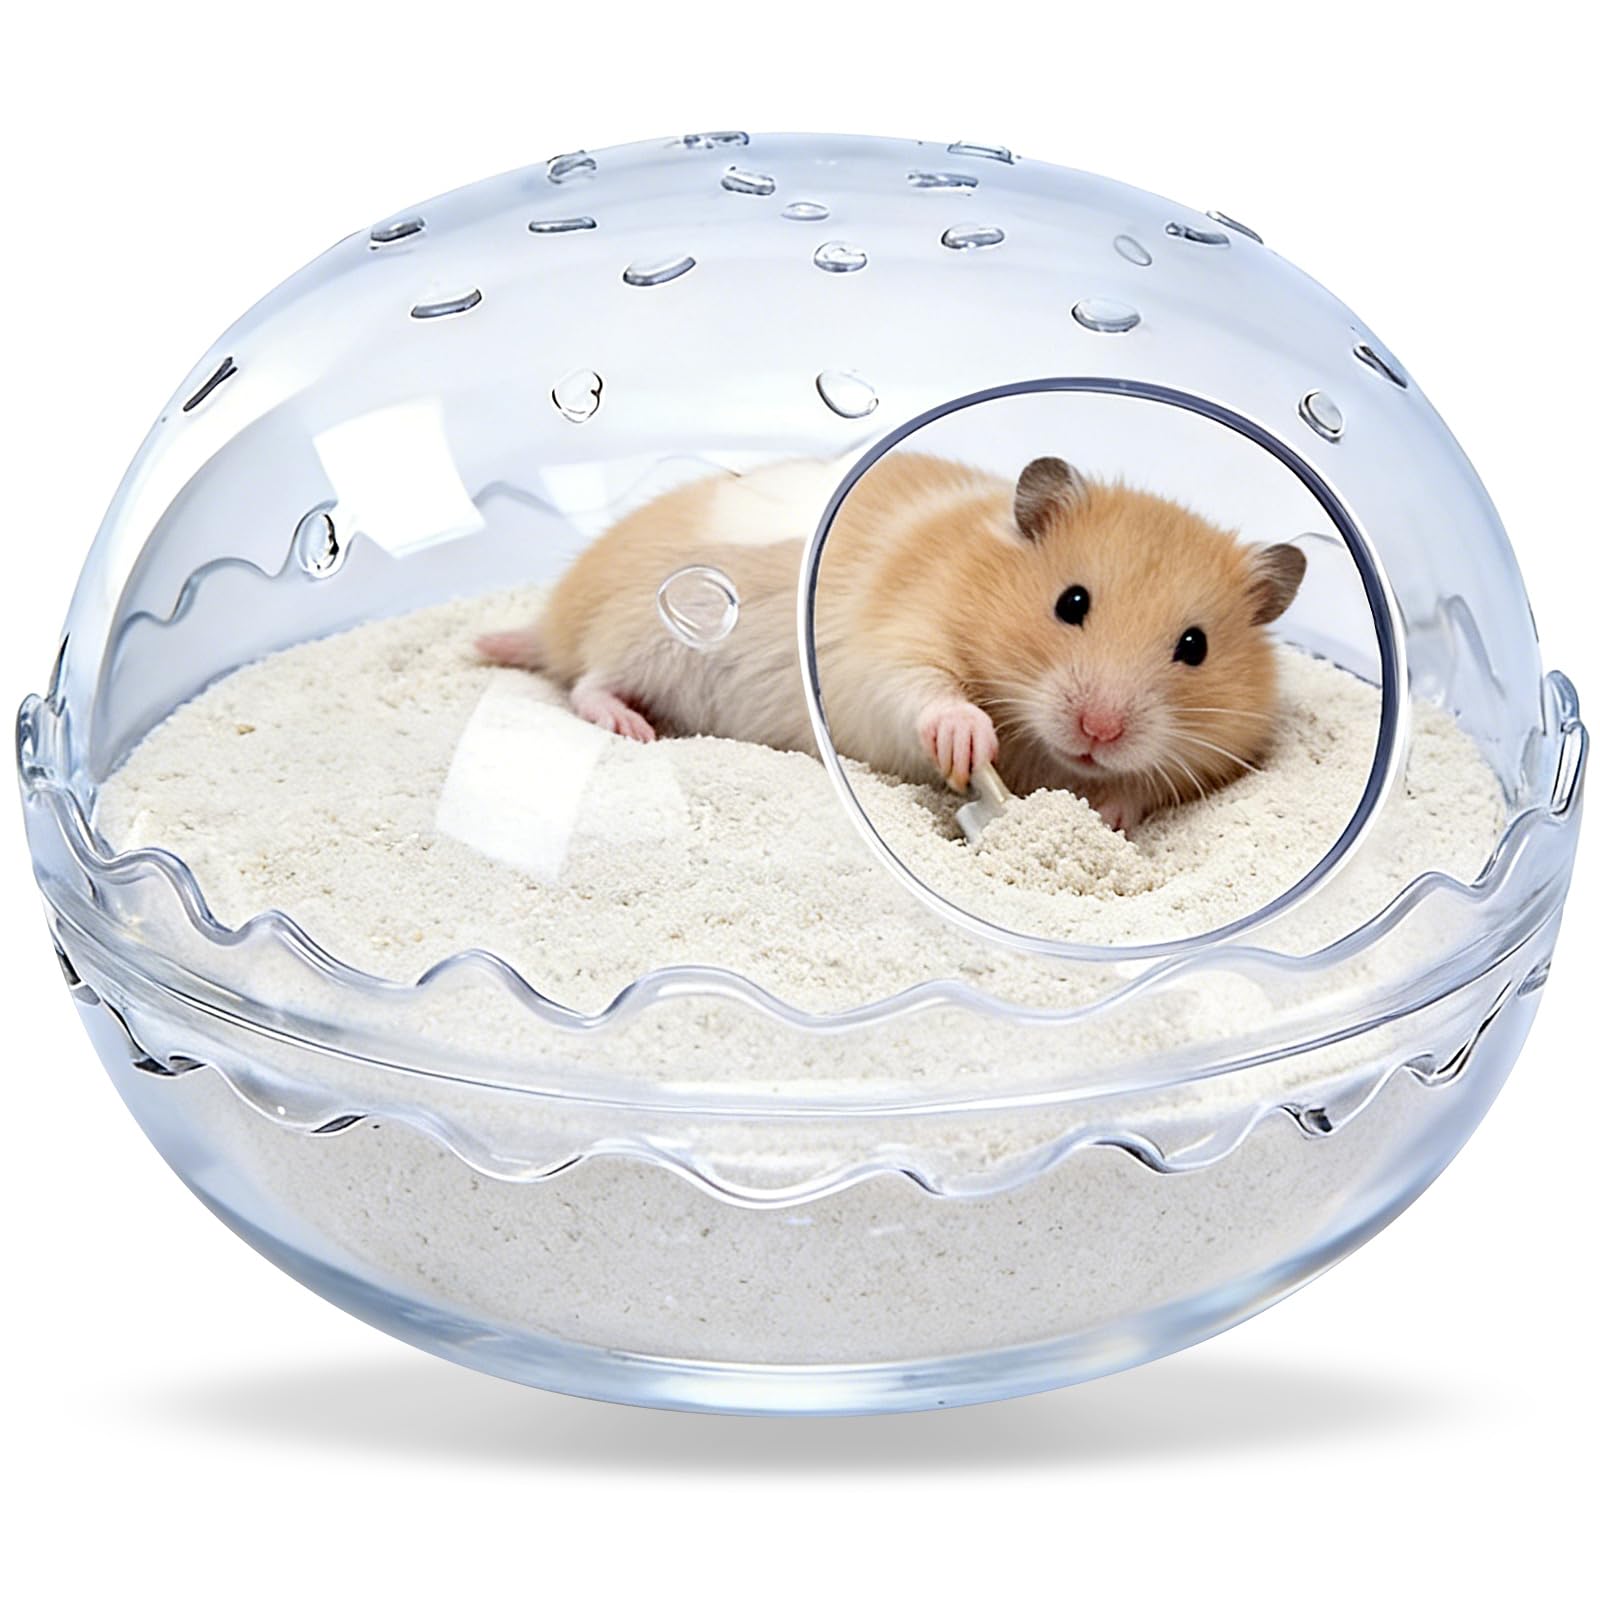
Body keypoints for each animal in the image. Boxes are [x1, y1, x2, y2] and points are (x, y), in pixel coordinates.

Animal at [477, 452, 1306, 831]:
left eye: (1195, 647)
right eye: (1071, 602)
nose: (1098, 733)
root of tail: (554, 612)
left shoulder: (1212, 753)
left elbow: (1147, 787)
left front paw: (1105, 813)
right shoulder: (890, 645)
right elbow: (927, 693)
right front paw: (968, 742)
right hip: (650, 631)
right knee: (586, 680)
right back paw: (629, 725)